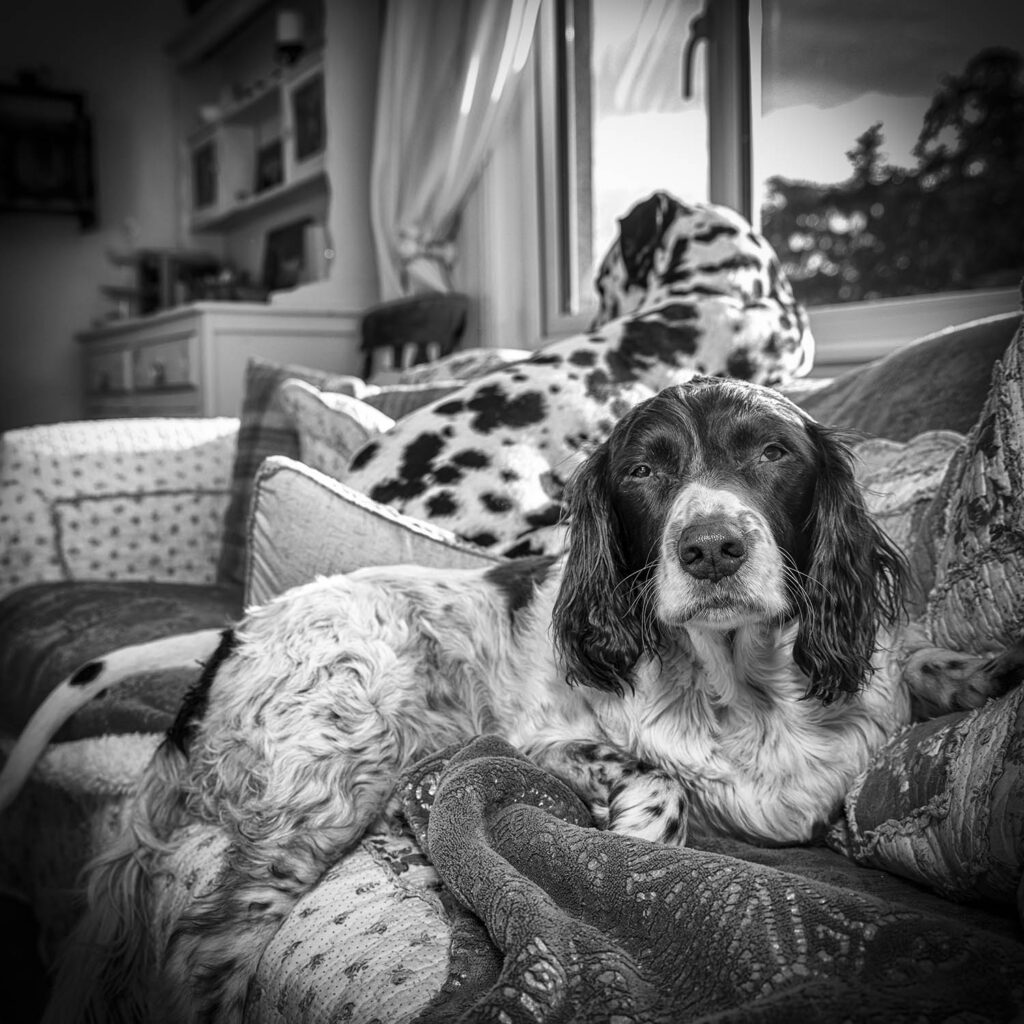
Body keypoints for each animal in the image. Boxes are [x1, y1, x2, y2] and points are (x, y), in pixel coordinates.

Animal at [6, 376, 1015, 1024]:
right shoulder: (542, 743)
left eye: (773, 453)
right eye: (644, 471)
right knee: (205, 947)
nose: (712, 549)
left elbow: (914, 663)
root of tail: (232, 639)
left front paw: (979, 669)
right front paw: (638, 846)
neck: (745, 685)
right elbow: (655, 778)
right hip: (343, 760)